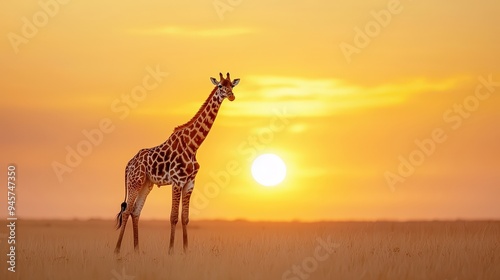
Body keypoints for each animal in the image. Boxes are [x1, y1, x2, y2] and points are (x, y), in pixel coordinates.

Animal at [115, 71, 240, 254]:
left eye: (231, 85)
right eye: (219, 86)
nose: (231, 96)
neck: (194, 145)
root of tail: (128, 165)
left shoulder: (190, 182)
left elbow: (185, 217)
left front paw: (186, 251)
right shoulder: (177, 181)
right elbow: (173, 217)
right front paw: (171, 251)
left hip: (147, 183)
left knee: (136, 212)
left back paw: (137, 251)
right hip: (135, 181)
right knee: (126, 211)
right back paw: (117, 251)